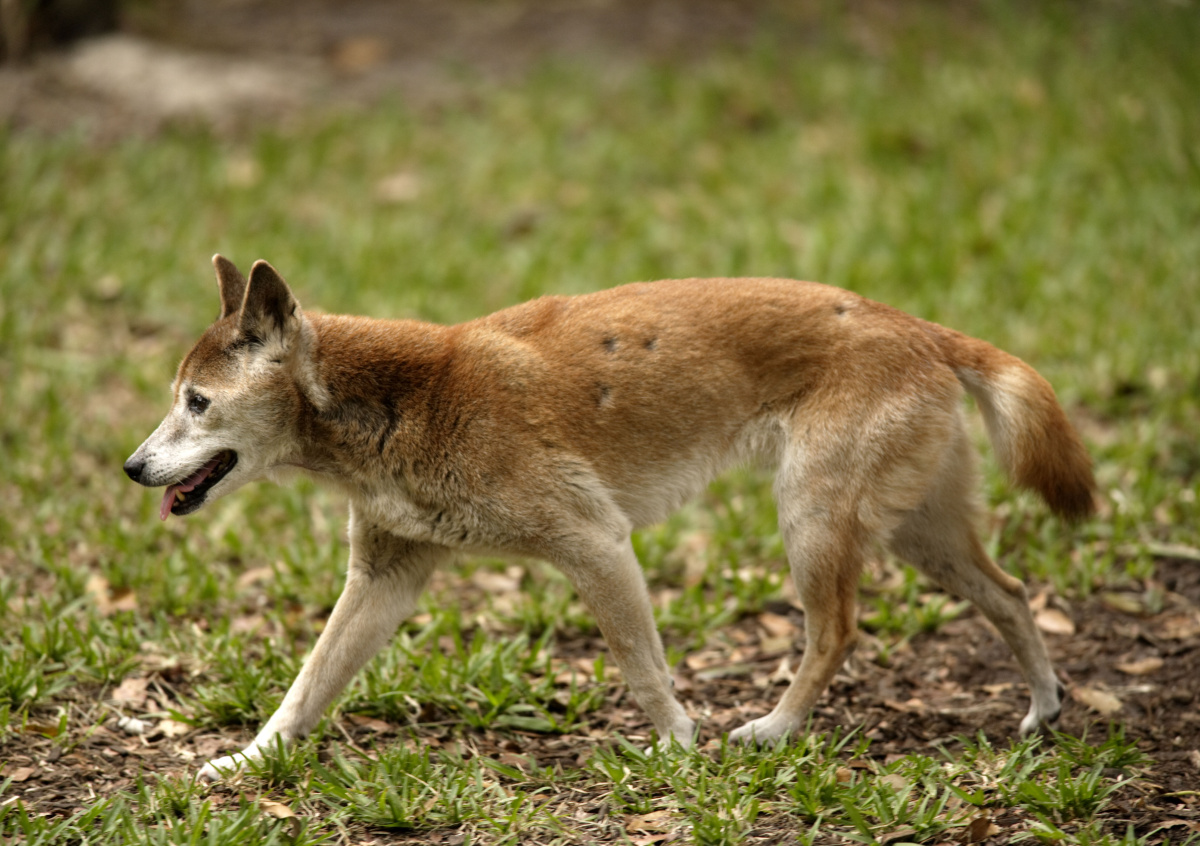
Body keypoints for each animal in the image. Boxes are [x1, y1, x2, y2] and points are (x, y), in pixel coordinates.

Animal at [124, 255, 1095, 781]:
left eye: (196, 403)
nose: (132, 468)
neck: (397, 403)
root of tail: (921, 327)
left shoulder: (593, 542)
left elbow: (641, 668)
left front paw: (678, 750)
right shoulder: (385, 578)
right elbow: (305, 689)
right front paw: (250, 762)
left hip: (815, 517)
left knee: (837, 632)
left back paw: (777, 728)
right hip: (919, 530)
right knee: (1011, 593)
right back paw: (1046, 707)